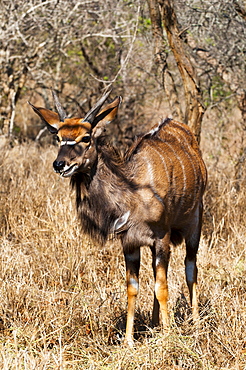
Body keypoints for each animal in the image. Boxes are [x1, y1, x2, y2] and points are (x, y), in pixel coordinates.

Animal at [28, 91, 207, 346]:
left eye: (86, 138)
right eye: (59, 137)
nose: (60, 164)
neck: (133, 190)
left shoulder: (161, 236)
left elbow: (162, 286)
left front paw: (169, 334)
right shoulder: (130, 242)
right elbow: (133, 287)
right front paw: (130, 341)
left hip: (194, 225)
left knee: (190, 268)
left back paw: (196, 322)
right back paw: (155, 324)